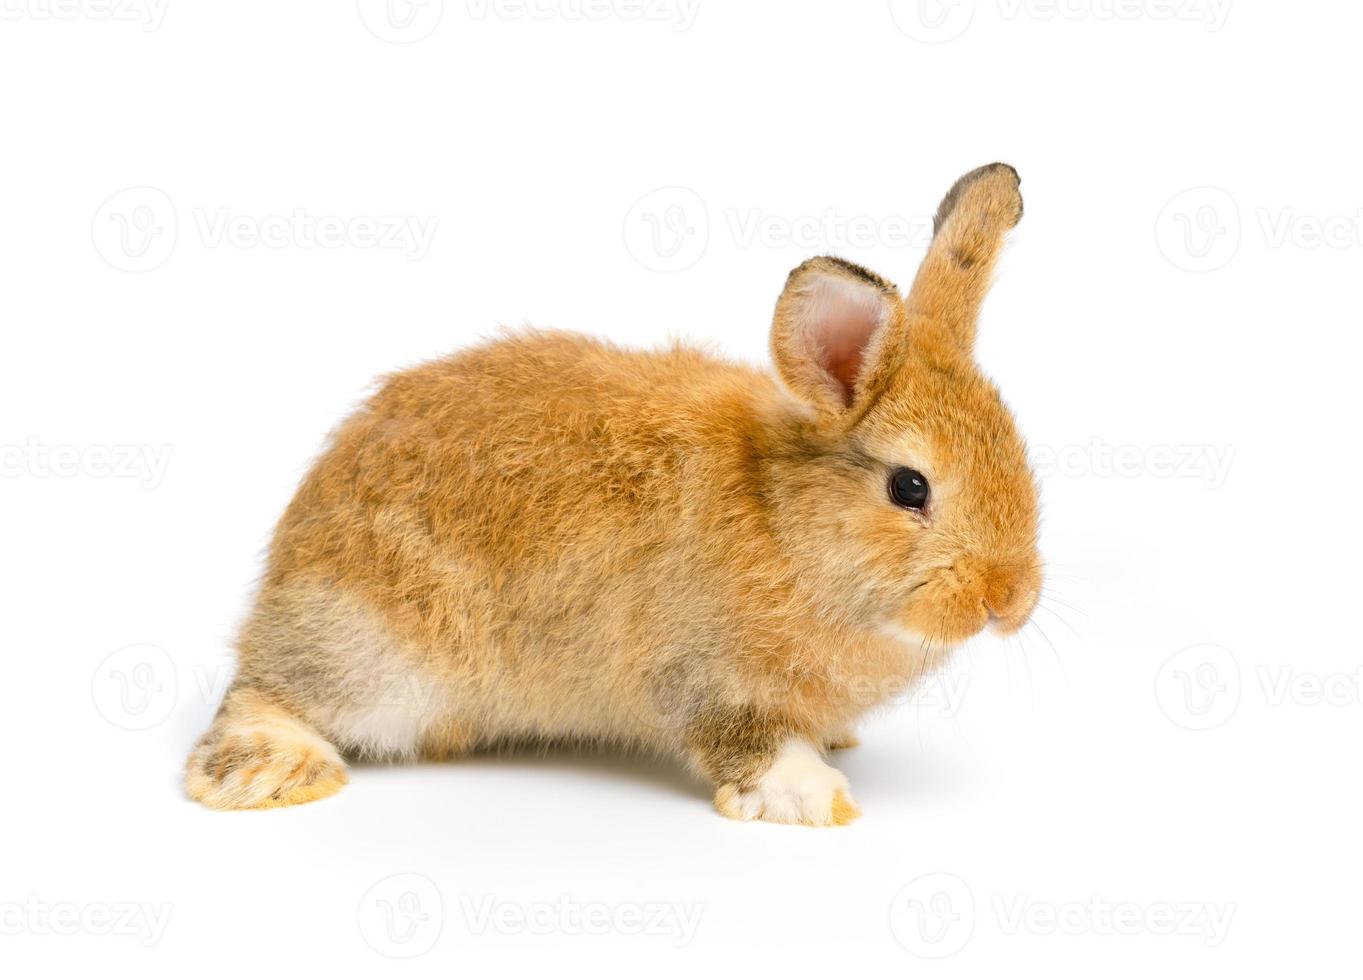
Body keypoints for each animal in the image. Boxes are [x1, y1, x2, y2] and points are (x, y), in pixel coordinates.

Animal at [186, 164, 1035, 823]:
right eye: (908, 487)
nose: (1008, 600)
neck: (787, 520)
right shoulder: (705, 675)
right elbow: (746, 740)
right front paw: (811, 796)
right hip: (373, 652)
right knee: (266, 692)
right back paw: (270, 772)